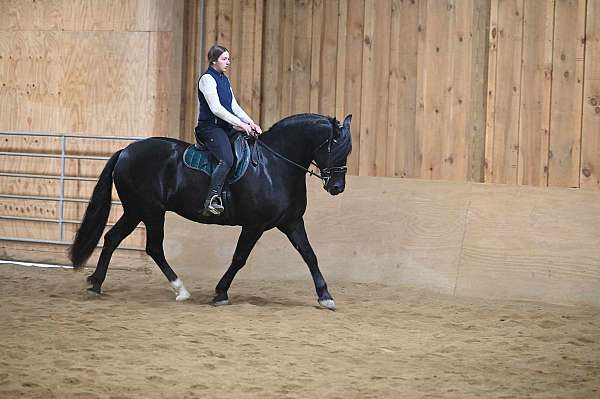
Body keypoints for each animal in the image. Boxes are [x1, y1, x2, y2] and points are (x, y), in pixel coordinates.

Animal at [69, 112, 352, 310]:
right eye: (337, 148)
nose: (337, 187)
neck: (274, 166)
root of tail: (126, 151)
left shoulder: (292, 222)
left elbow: (309, 255)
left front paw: (325, 296)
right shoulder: (254, 225)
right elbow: (239, 258)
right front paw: (220, 293)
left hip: (136, 211)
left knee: (113, 238)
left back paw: (96, 284)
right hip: (149, 211)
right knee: (153, 247)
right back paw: (180, 290)